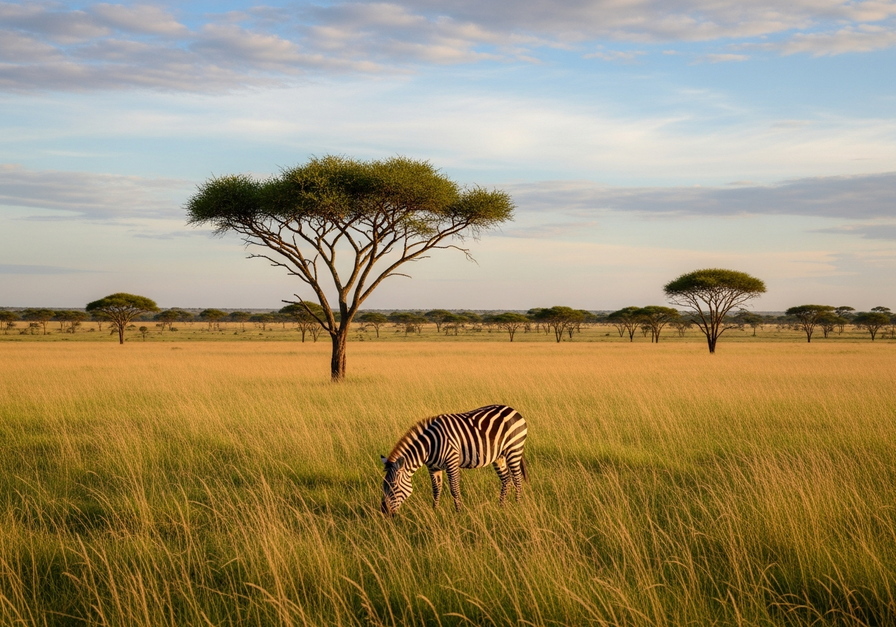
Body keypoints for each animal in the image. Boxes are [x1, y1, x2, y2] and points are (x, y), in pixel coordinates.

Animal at [380, 404, 528, 515]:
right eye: (383, 485)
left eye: (393, 486)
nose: (384, 511)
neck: (430, 446)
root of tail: (513, 410)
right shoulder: (433, 468)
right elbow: (436, 489)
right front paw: (435, 511)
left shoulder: (451, 461)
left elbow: (454, 489)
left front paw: (459, 513)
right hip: (499, 457)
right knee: (506, 479)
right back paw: (501, 506)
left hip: (514, 449)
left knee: (517, 479)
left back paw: (518, 505)